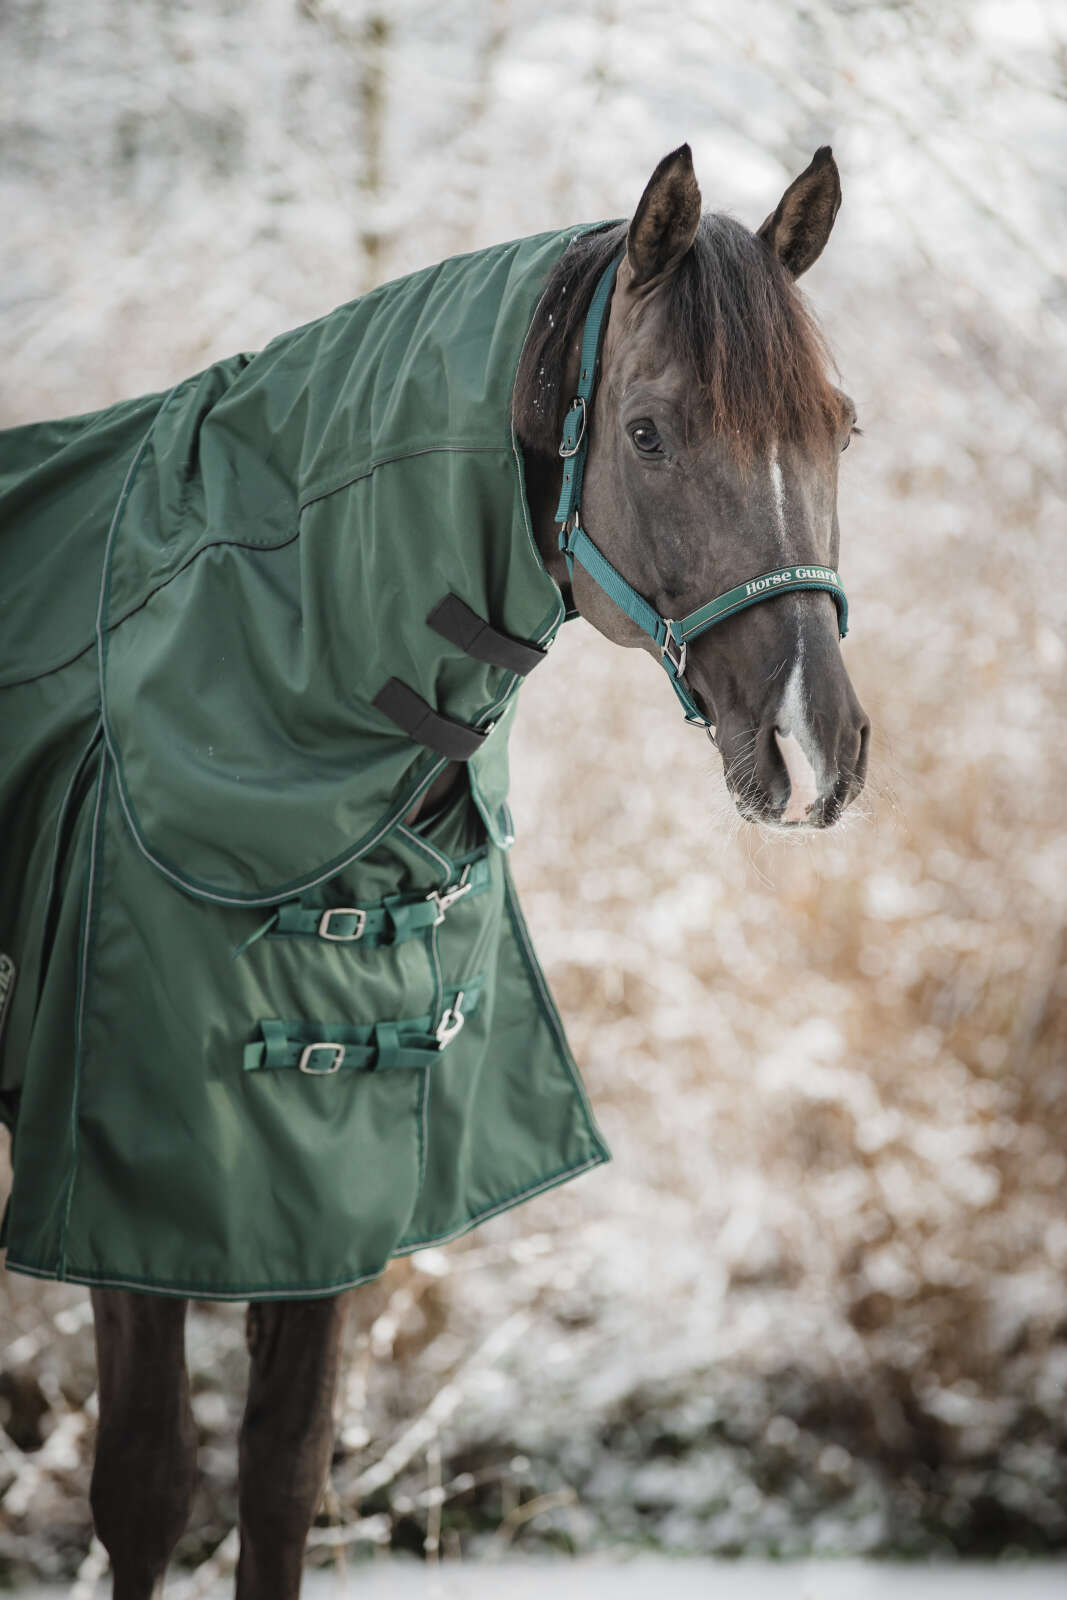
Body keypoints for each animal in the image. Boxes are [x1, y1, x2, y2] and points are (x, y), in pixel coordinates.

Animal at [0, 144, 868, 1596]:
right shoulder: (136, 1204)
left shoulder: (321, 1199)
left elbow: (281, 1478)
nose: (814, 750)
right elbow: (146, 1486)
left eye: (837, 430)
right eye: (647, 432)